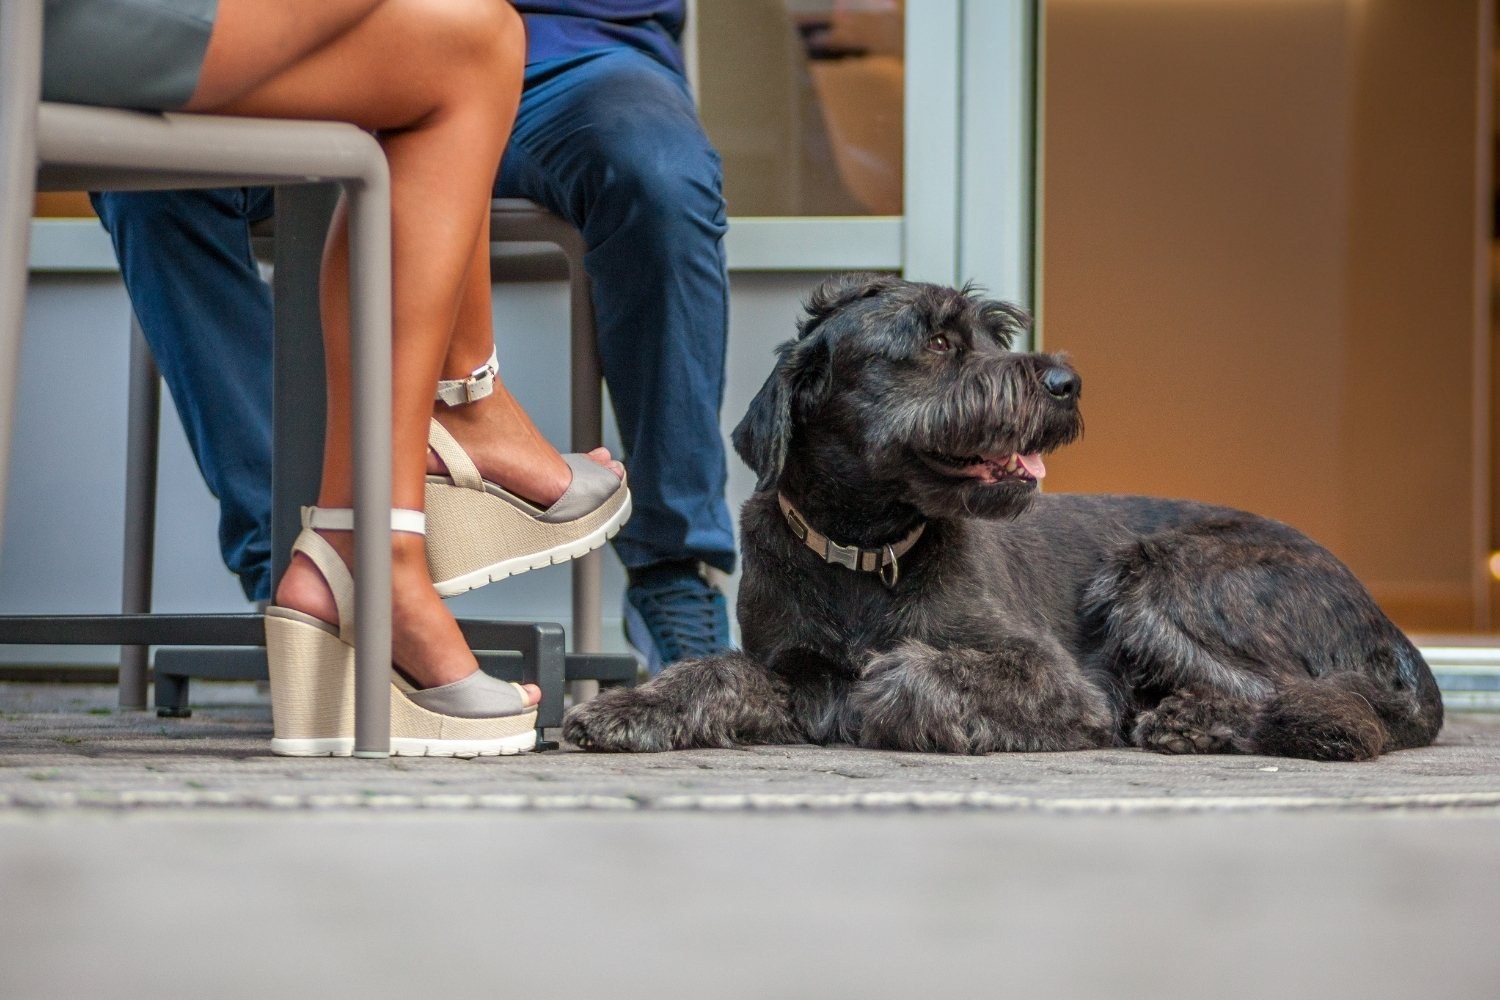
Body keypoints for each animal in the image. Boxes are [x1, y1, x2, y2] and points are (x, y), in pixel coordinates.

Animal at [564, 274, 1440, 758]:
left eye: (994, 332)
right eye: (938, 341)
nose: (1066, 383)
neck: (867, 545)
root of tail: (1380, 618)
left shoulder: (1055, 675)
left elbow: (912, 671)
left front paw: (884, 692)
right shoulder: (786, 664)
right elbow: (717, 672)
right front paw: (628, 708)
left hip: (1157, 575)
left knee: (1337, 707)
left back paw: (1198, 721)